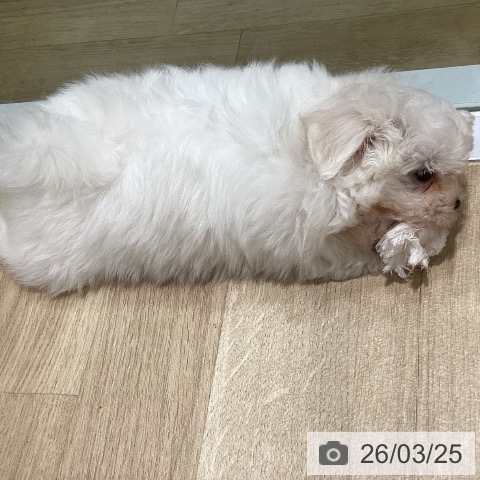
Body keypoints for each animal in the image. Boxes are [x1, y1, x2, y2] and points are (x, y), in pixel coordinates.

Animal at [0, 63, 474, 294]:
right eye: (423, 175)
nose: (457, 203)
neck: (307, 148)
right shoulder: (309, 242)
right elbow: (353, 249)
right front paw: (399, 246)